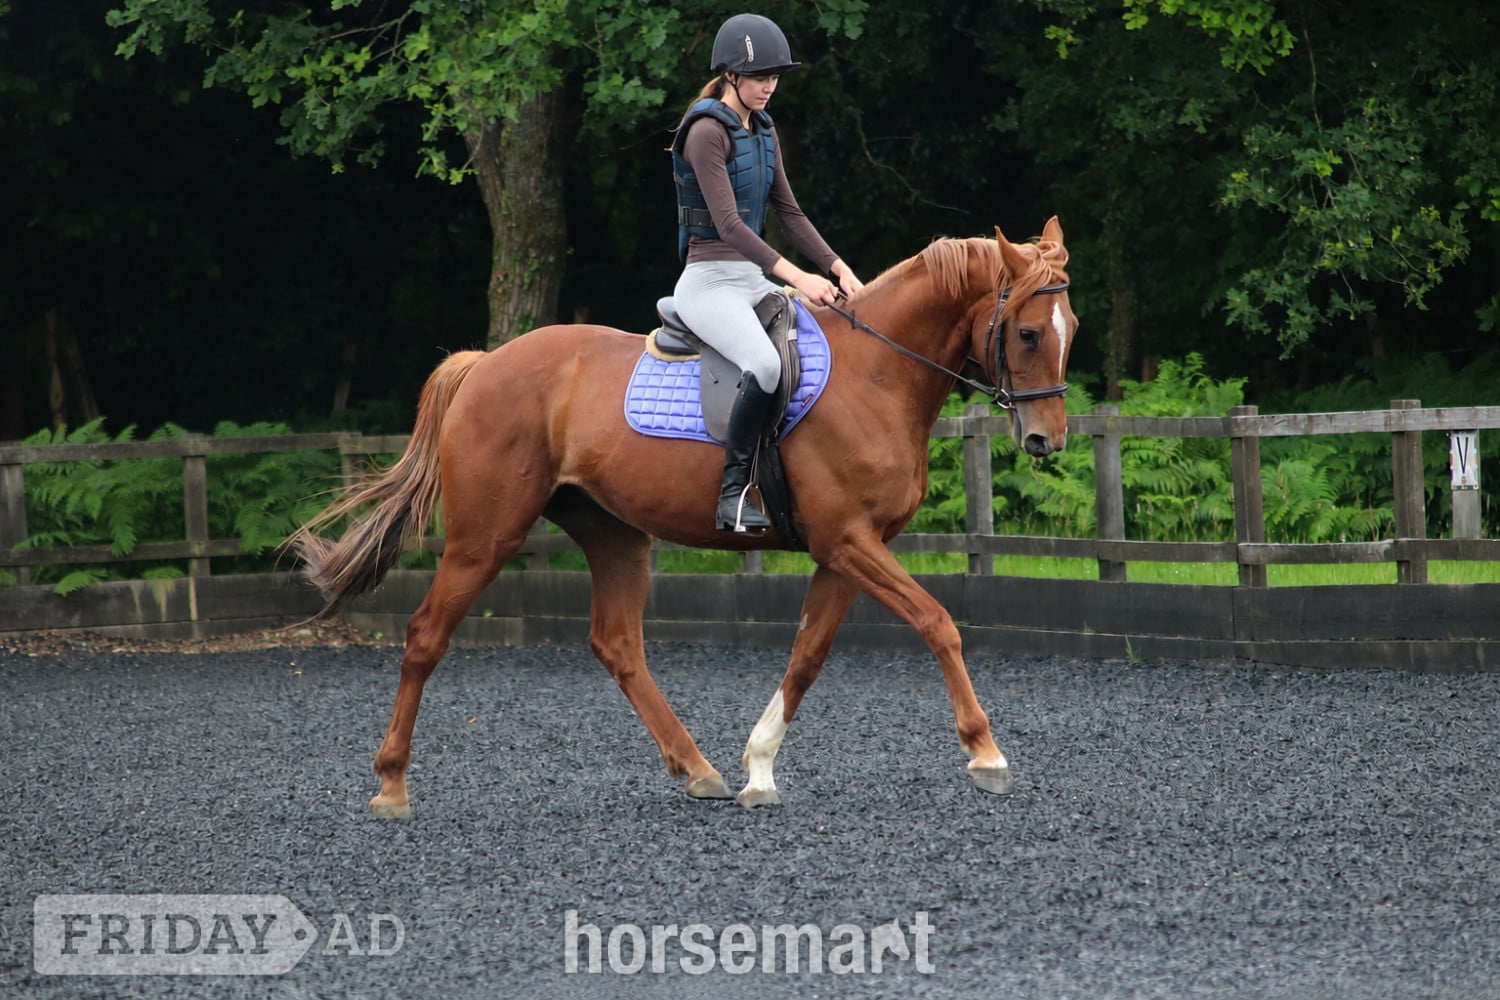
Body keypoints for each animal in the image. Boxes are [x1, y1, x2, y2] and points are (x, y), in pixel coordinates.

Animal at [287, 216, 1076, 816]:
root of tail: (483, 364)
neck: (875, 374)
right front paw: (986, 753)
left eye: (1069, 325)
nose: (1047, 440)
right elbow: (938, 623)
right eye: (1029, 333)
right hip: (486, 536)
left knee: (617, 644)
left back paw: (697, 769)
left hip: (614, 535)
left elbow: (808, 656)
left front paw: (758, 769)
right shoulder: (851, 543)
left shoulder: (847, 549)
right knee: (426, 635)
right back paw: (391, 785)